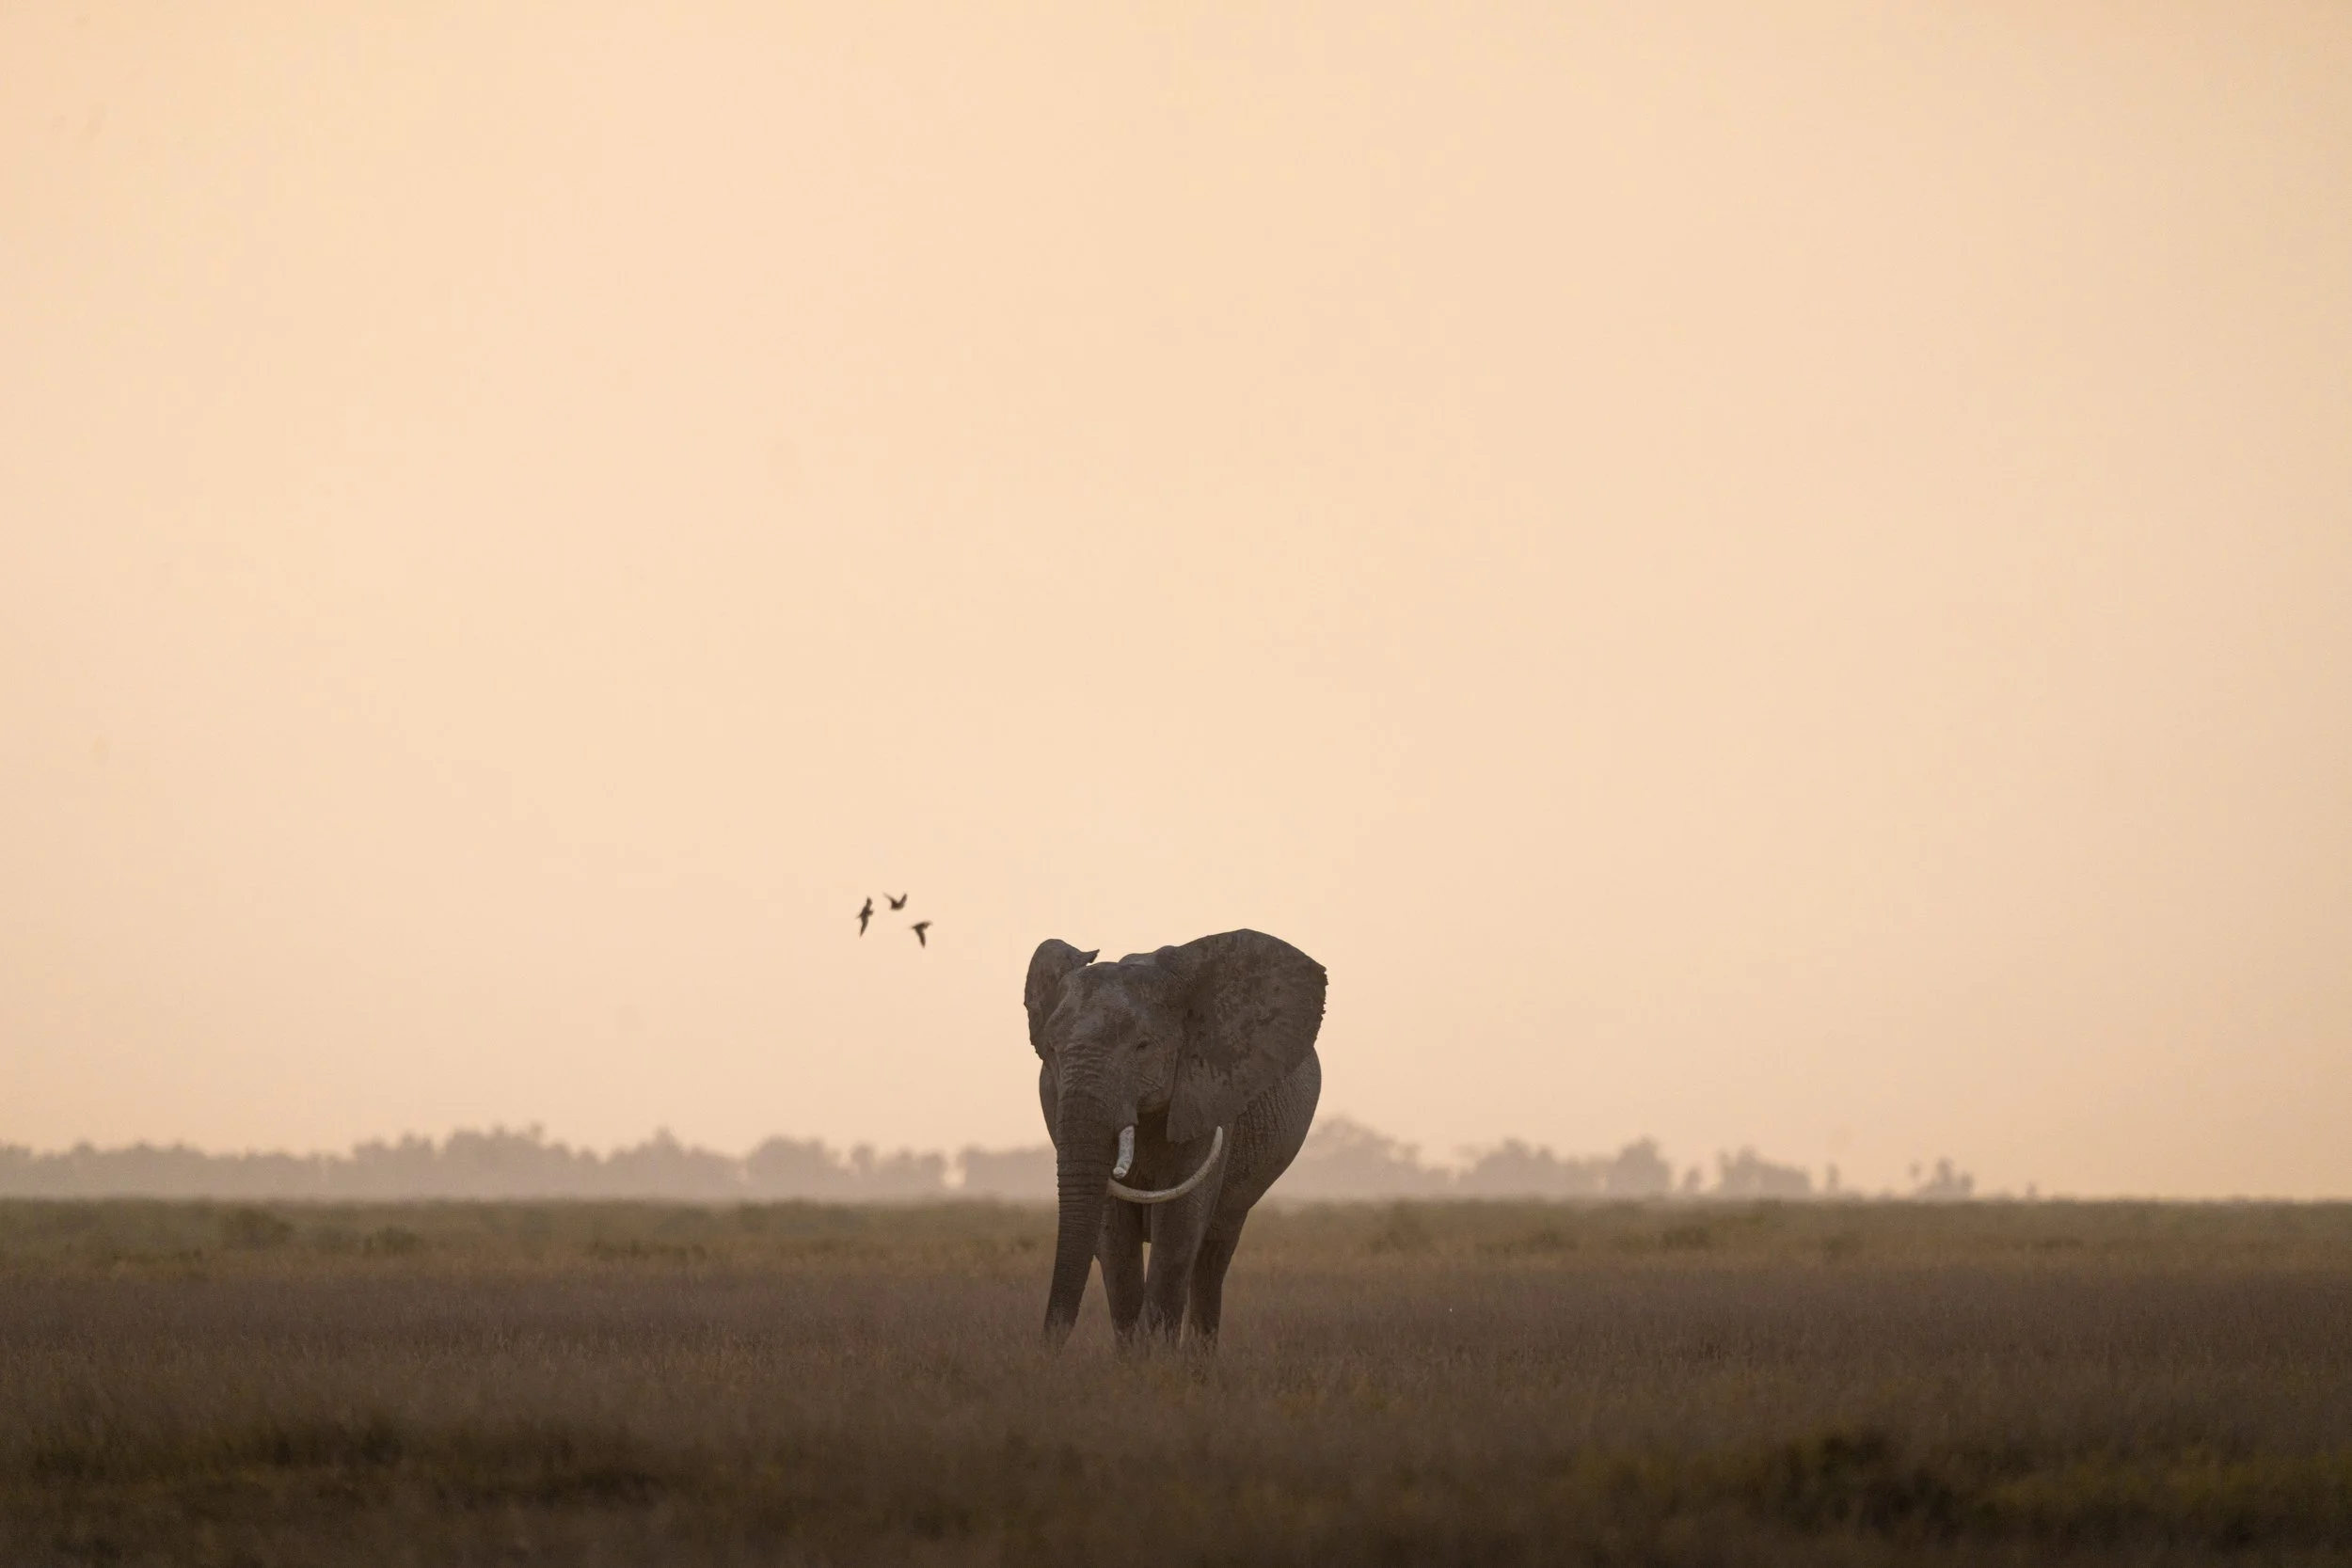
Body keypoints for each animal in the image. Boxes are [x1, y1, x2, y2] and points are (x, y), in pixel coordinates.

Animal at [1025, 928, 1325, 1347]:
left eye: (1143, 1046)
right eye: (1050, 1049)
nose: (1046, 1347)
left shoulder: (1209, 1090)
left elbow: (1179, 1223)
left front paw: (1153, 1355)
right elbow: (1112, 1232)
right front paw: (1132, 1355)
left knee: (1213, 1252)